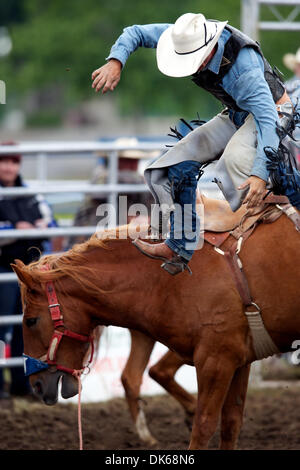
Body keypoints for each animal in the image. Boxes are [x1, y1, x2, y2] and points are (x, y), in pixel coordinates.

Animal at [13, 215, 300, 450]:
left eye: (31, 321)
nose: (36, 384)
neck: (169, 281)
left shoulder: (217, 360)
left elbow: (205, 425)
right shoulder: (237, 361)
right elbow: (230, 424)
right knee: (135, 376)